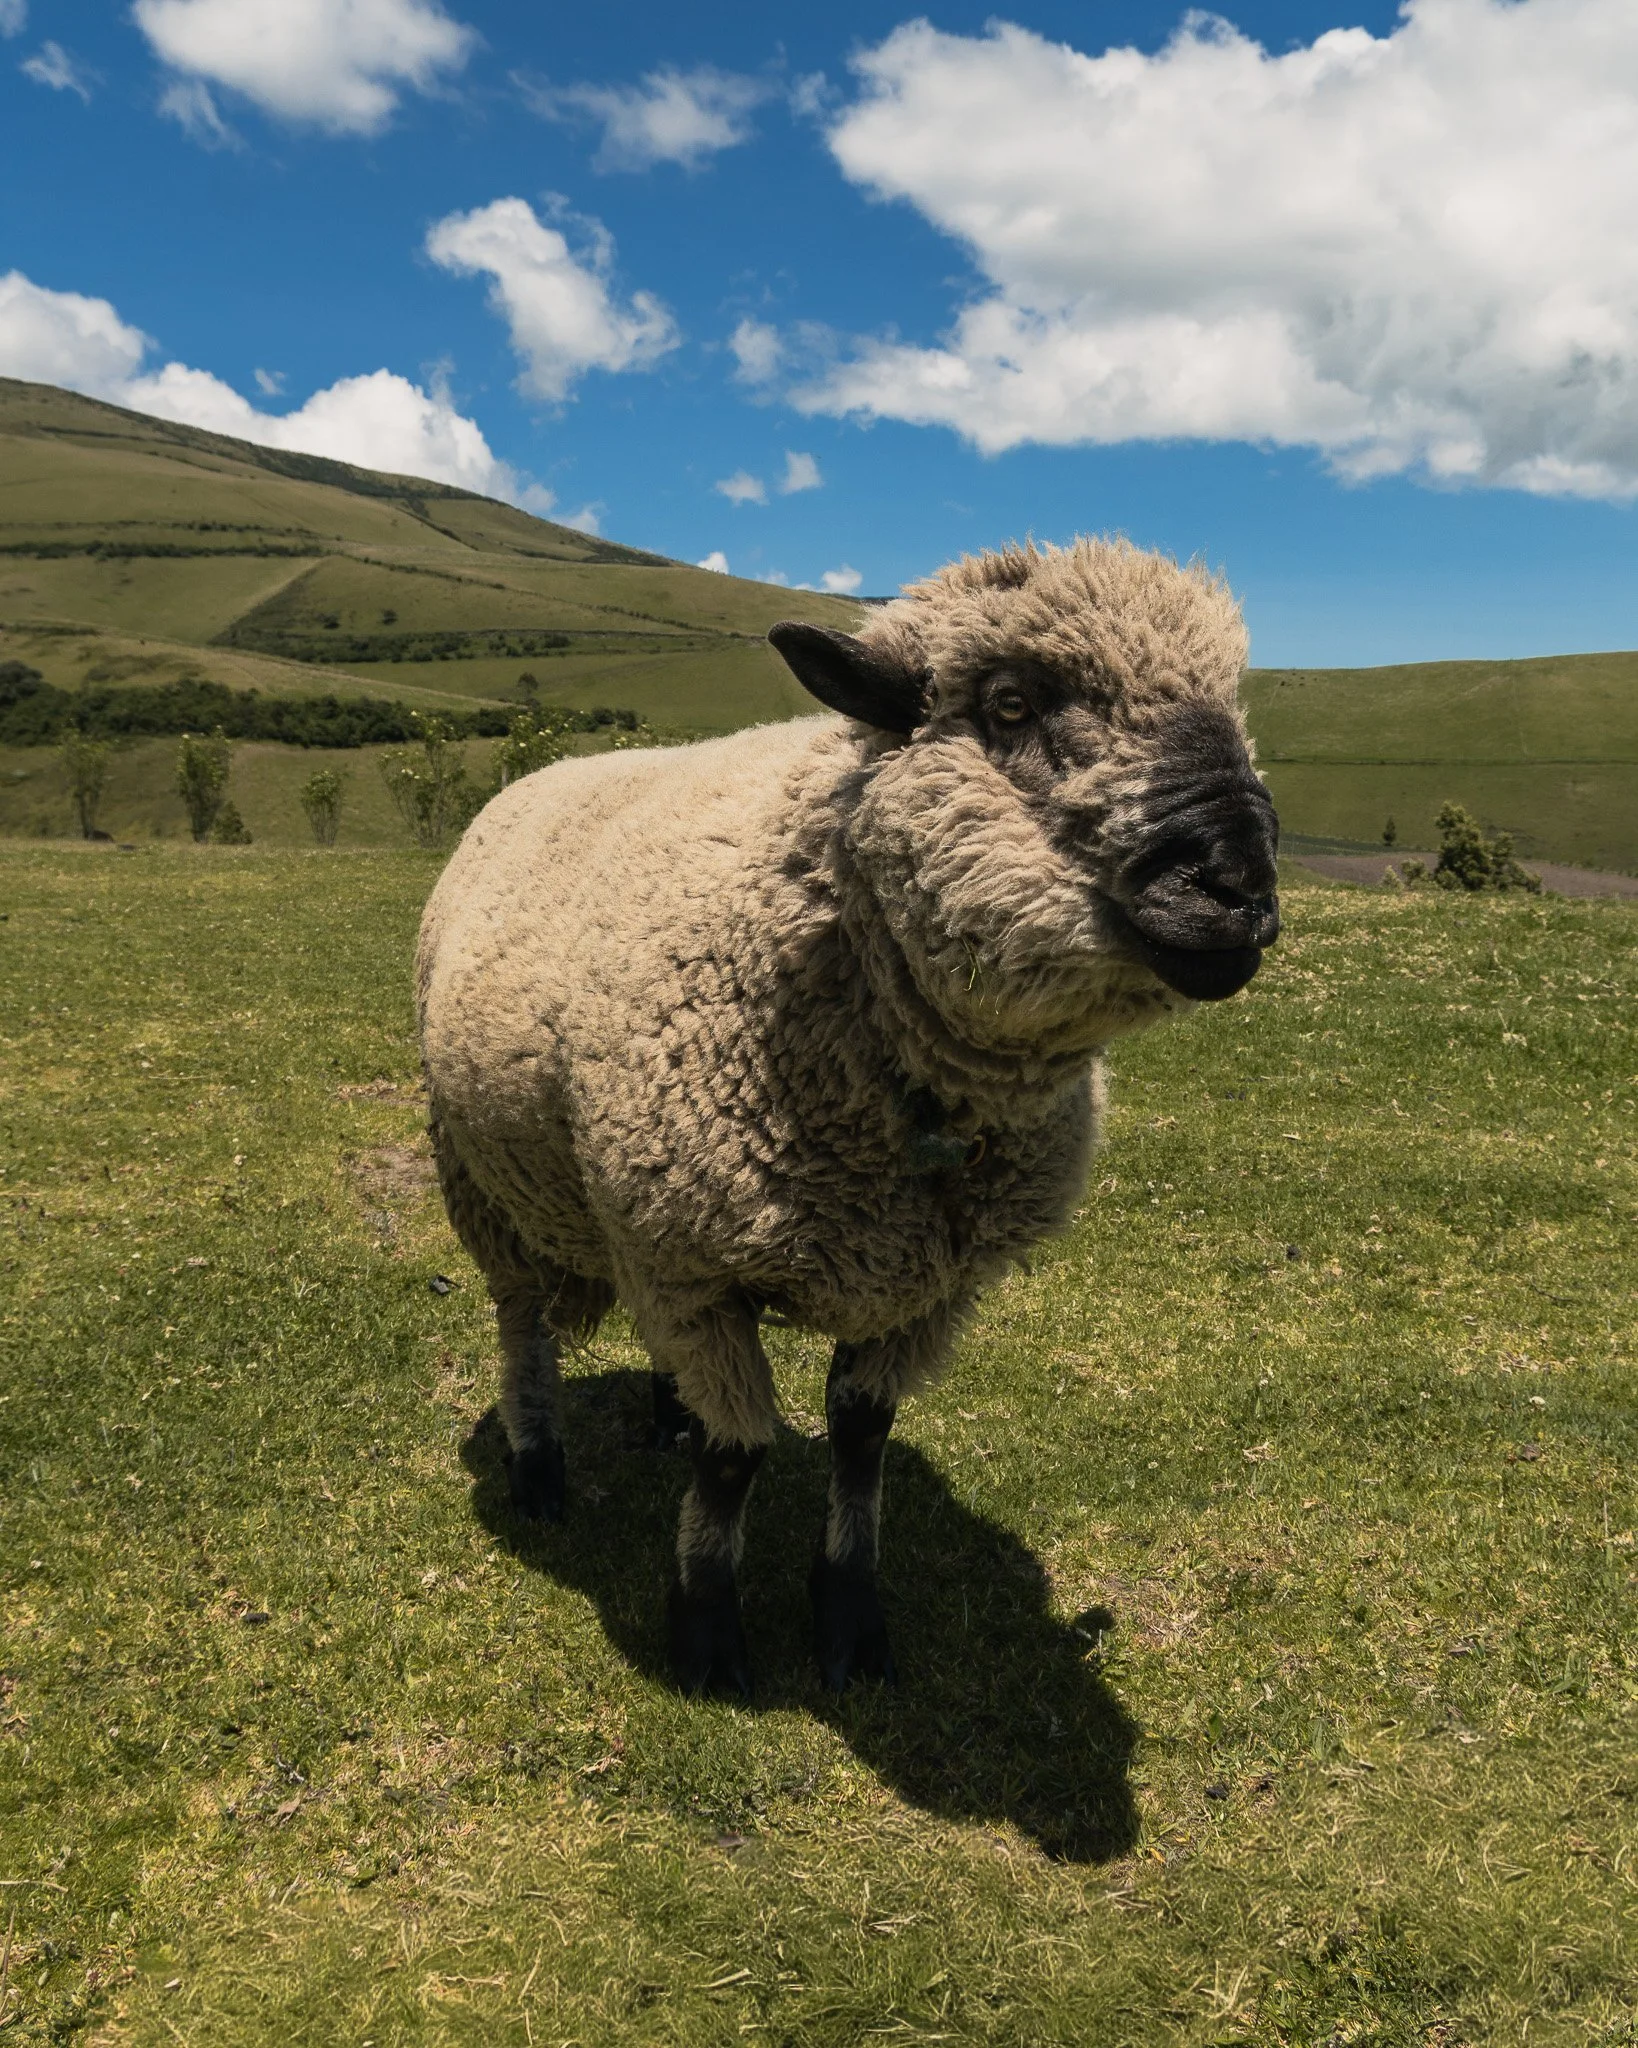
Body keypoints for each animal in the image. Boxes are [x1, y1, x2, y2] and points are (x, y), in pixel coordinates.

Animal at [417, 538, 1279, 1697]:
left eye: (1232, 704)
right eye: (1009, 702)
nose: (1240, 885)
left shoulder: (923, 1284)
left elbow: (861, 1435)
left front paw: (849, 1616)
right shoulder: (694, 1264)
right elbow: (737, 1455)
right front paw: (708, 1627)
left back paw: (664, 1413)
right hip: (492, 1185)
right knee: (520, 1325)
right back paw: (538, 1468)